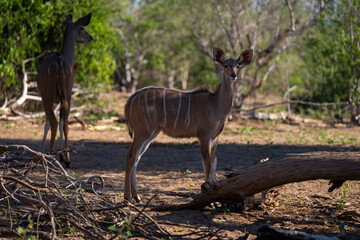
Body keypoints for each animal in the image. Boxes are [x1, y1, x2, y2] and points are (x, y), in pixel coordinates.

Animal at [36, 13, 92, 167]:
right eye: (82, 28)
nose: (90, 38)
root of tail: (59, 64)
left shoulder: (51, 99)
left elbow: (47, 124)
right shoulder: (62, 98)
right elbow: (61, 121)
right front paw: (61, 155)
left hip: (48, 98)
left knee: (54, 122)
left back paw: (50, 156)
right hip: (65, 97)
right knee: (64, 122)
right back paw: (66, 159)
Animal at [124, 46, 253, 201]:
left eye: (238, 66)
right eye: (226, 65)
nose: (234, 75)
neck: (216, 104)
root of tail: (131, 99)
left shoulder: (215, 138)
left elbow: (214, 162)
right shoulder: (204, 136)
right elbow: (207, 163)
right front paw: (208, 195)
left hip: (151, 133)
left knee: (137, 157)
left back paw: (137, 196)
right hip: (142, 132)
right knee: (130, 156)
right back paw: (127, 197)